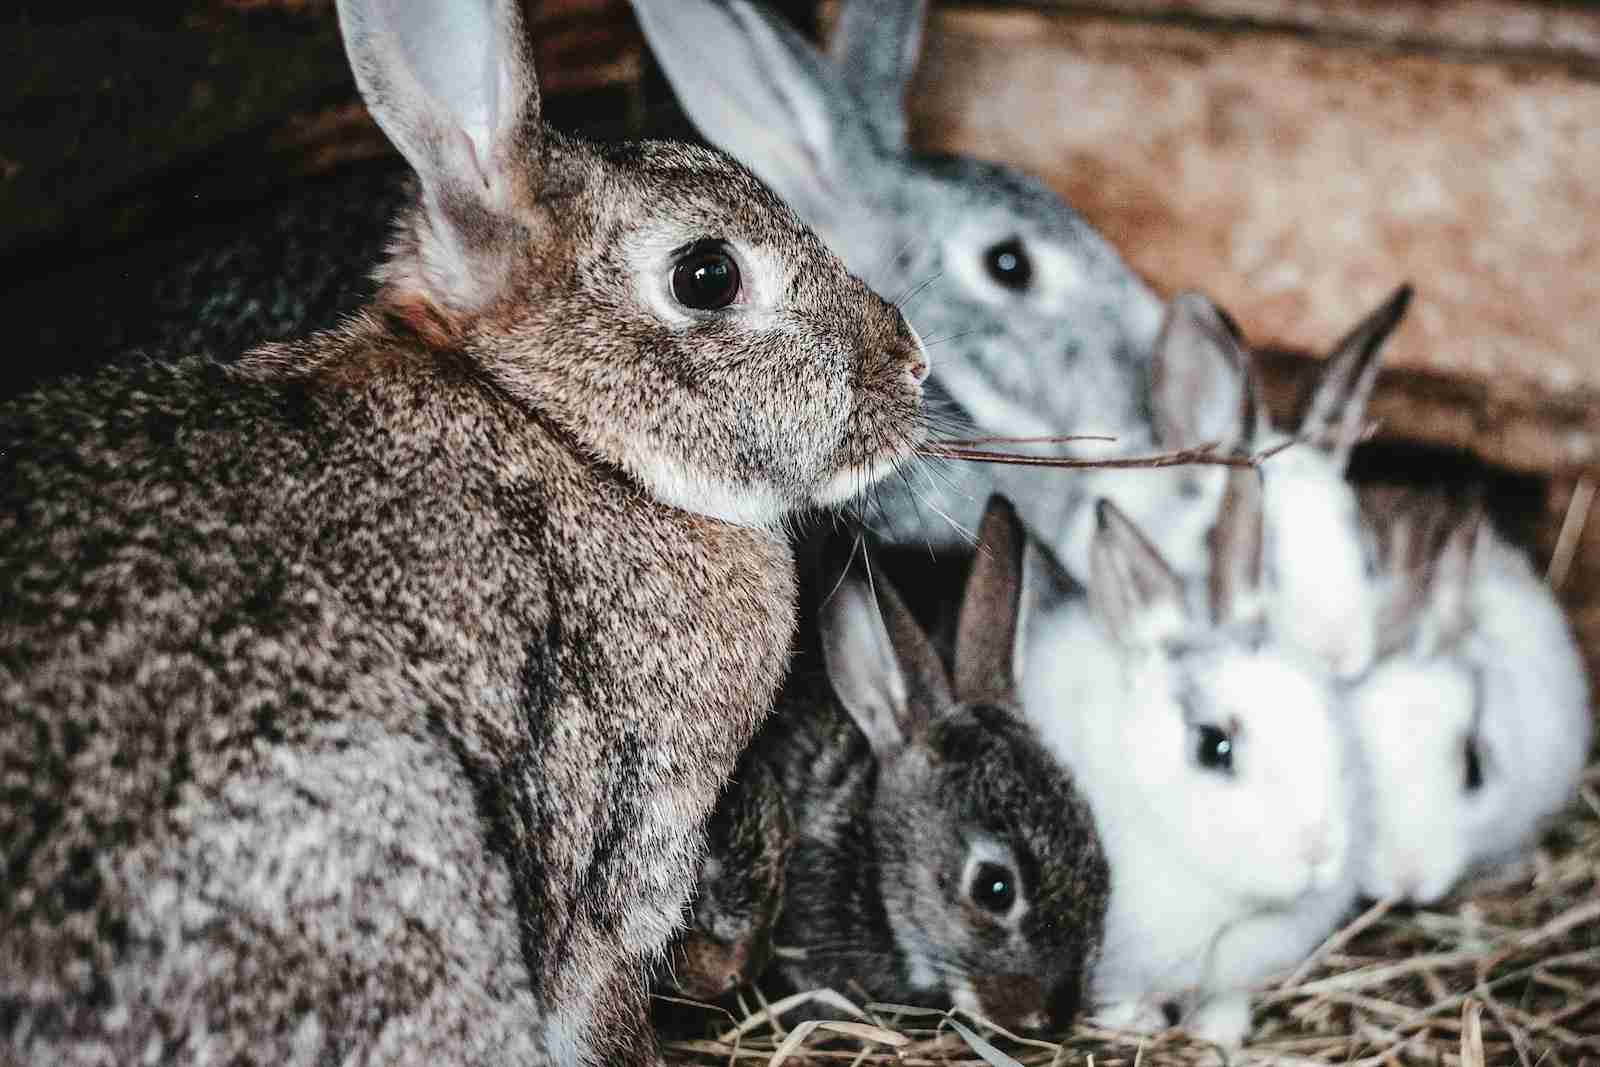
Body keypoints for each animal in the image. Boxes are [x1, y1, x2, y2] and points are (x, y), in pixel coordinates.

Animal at [1019, 468, 1364, 1048]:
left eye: (1331, 709)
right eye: (1213, 746)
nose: (1320, 852)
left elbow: (1224, 999)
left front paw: (1219, 1036)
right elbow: (1122, 998)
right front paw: (1135, 1027)